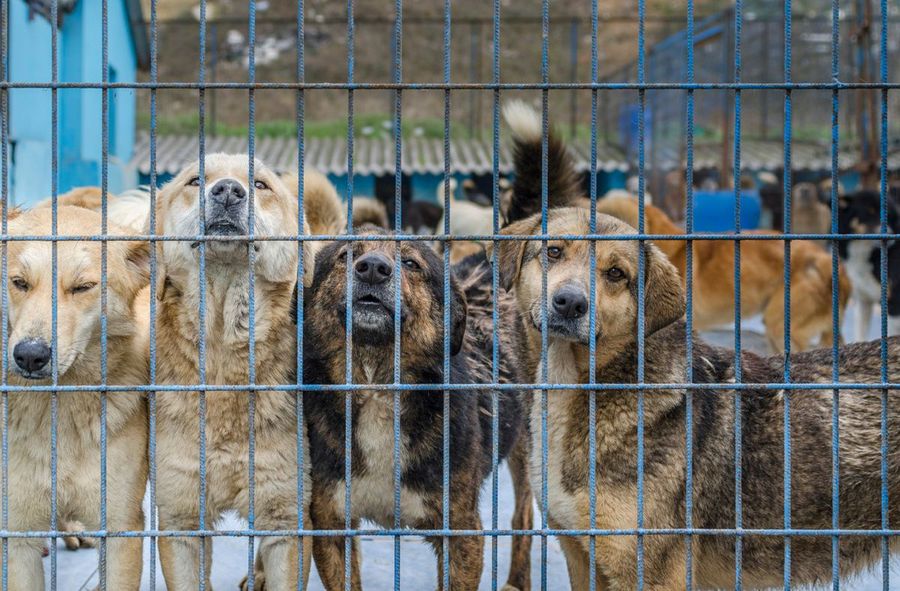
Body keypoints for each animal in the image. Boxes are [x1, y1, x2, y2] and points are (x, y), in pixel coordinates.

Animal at [302, 228, 536, 591]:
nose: (372, 268)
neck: (376, 386)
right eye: (347, 255)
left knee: (524, 513)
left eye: (411, 263)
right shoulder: (331, 523)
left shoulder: (461, 532)